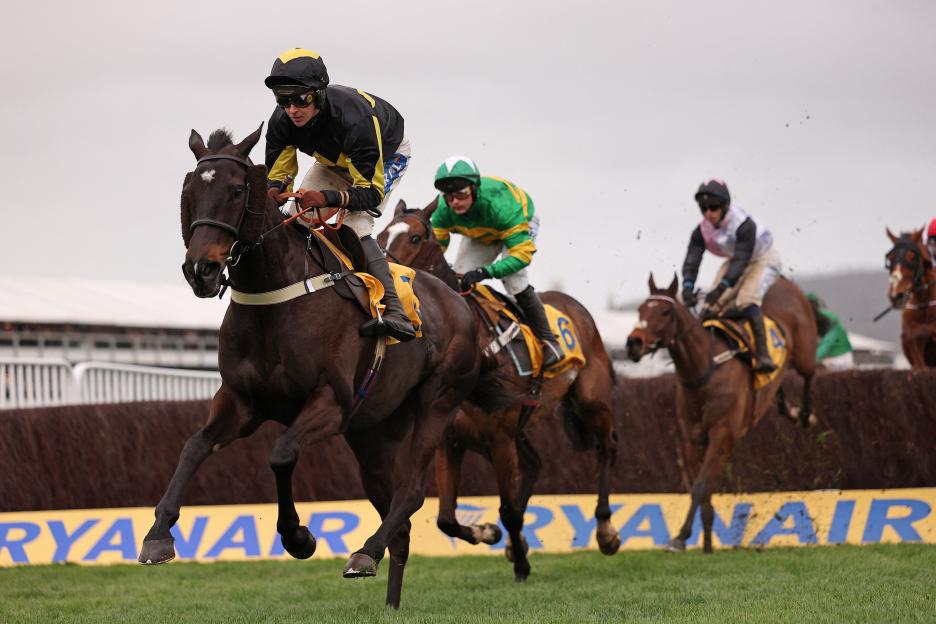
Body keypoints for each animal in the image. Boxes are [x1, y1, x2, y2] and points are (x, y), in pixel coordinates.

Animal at [138, 126, 498, 609]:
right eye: (189, 191)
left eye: (236, 190)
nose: (201, 269)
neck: (274, 298)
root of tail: (459, 301)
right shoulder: (241, 401)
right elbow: (194, 447)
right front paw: (158, 534)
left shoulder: (331, 402)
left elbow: (281, 453)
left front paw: (298, 537)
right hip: (373, 433)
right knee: (398, 518)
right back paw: (389, 599)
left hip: (436, 404)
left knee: (411, 492)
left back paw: (365, 552)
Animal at [376, 199, 620, 581]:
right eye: (381, 234)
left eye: (414, 237)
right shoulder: (450, 442)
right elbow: (447, 519)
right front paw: (489, 534)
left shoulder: (500, 439)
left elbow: (507, 511)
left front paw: (520, 563)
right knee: (535, 463)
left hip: (591, 400)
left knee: (605, 446)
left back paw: (606, 531)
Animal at [625, 274, 817, 553]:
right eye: (640, 309)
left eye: (665, 311)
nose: (633, 343)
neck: (704, 370)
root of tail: (783, 281)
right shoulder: (692, 439)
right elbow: (700, 488)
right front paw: (706, 545)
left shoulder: (722, 435)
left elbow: (700, 486)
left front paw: (680, 537)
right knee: (779, 390)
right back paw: (790, 409)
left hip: (803, 352)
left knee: (810, 373)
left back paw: (805, 415)